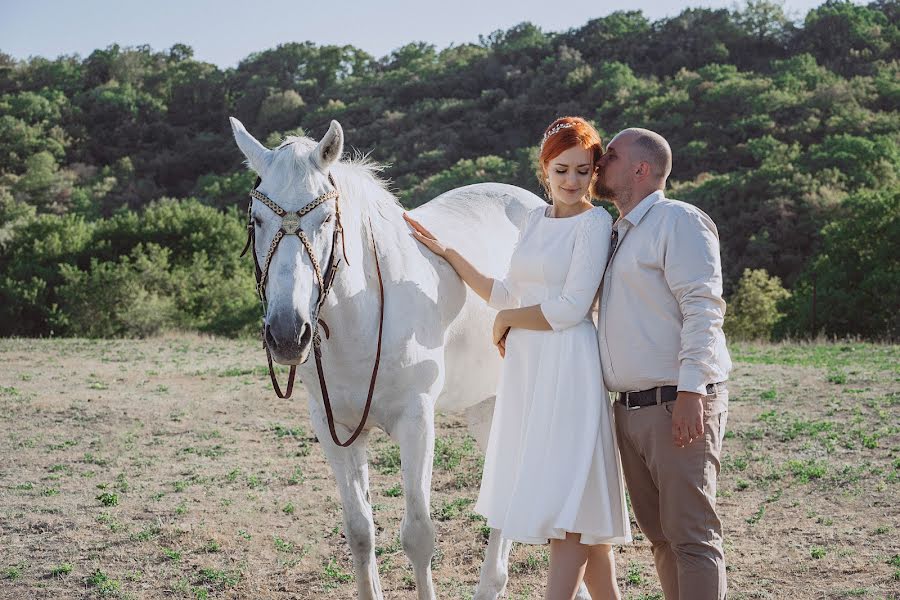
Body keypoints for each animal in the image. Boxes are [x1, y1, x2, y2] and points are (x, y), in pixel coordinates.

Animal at [229, 118, 588, 600]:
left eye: (325, 220)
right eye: (257, 219)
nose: (288, 333)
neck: (362, 315)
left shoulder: (416, 421)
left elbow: (418, 534)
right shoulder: (333, 429)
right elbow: (359, 531)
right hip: (485, 406)